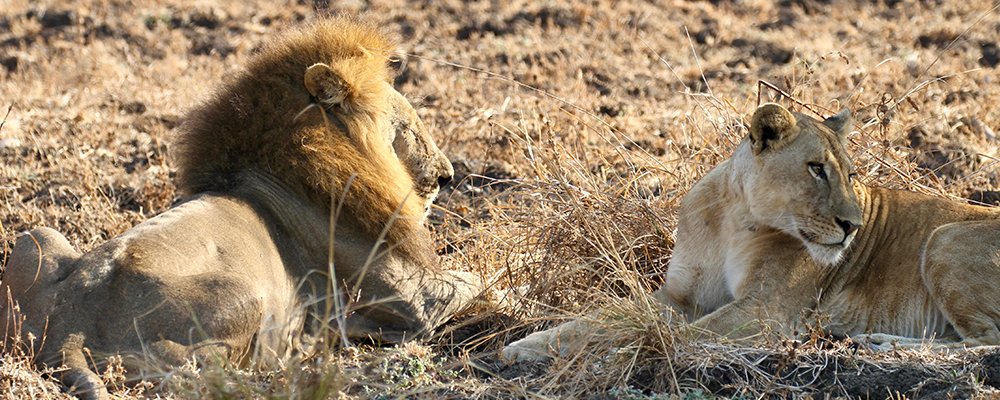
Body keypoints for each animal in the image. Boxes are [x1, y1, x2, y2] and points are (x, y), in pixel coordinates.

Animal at [1, 18, 484, 399]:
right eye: (407, 128)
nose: (447, 176)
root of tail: (66, 328)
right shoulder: (413, 299)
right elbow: (478, 283)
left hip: (36, 237)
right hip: (245, 293)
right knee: (174, 369)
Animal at [503, 102, 1000, 362]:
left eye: (851, 174)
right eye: (817, 169)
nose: (853, 227)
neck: (735, 218)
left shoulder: (766, 311)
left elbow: (687, 336)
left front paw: (621, 357)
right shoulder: (679, 296)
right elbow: (604, 317)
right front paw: (525, 346)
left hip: (944, 238)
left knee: (986, 340)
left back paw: (879, 342)